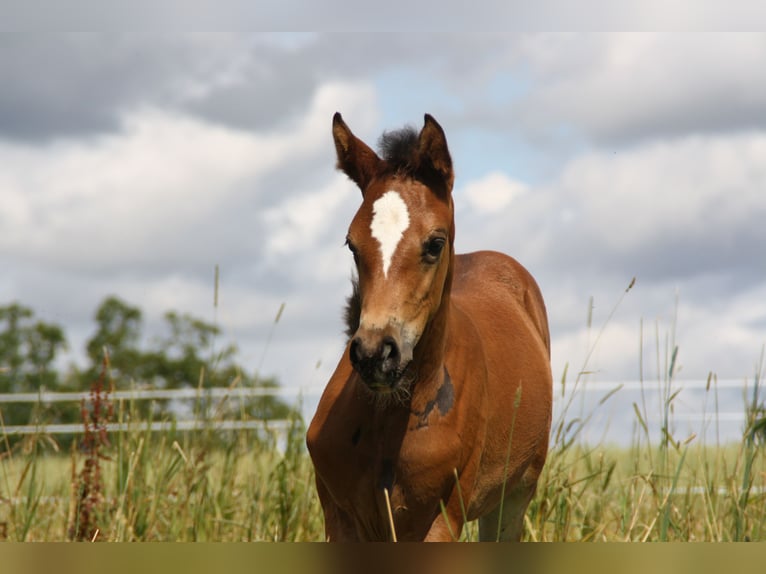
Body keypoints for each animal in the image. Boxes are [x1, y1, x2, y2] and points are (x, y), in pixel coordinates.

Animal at [306, 112, 552, 544]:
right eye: (352, 244)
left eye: (435, 243)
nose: (375, 355)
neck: (386, 421)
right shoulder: (341, 518)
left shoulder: (439, 520)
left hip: (514, 497)